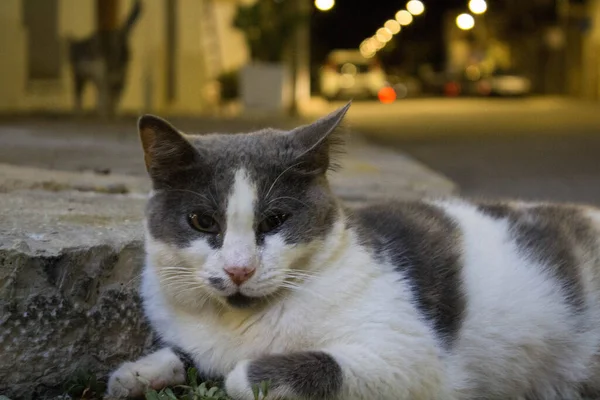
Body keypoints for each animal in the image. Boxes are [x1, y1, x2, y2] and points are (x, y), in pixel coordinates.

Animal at [108, 104, 600, 400]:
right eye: (202, 221)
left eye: (275, 221)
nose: (239, 270)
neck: (240, 324)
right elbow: (184, 353)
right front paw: (132, 375)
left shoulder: (407, 357)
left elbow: (248, 374)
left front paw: (237, 373)